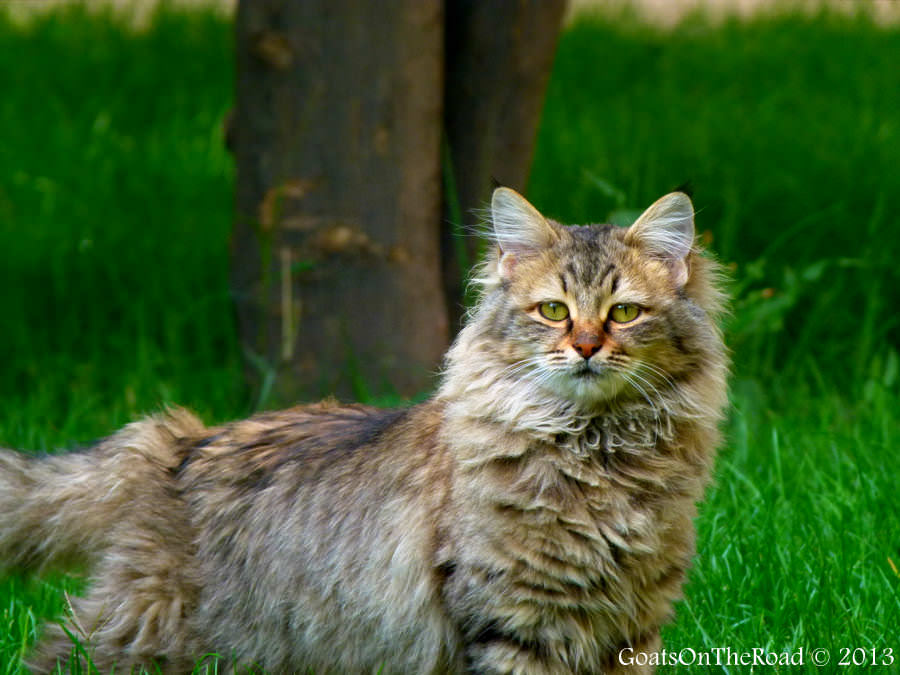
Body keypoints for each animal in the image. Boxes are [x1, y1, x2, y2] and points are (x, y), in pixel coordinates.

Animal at [0, 187, 728, 672]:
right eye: (553, 310)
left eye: (624, 312)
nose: (584, 347)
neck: (599, 451)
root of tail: (177, 440)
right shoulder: (511, 621)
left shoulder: (630, 627)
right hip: (147, 634)